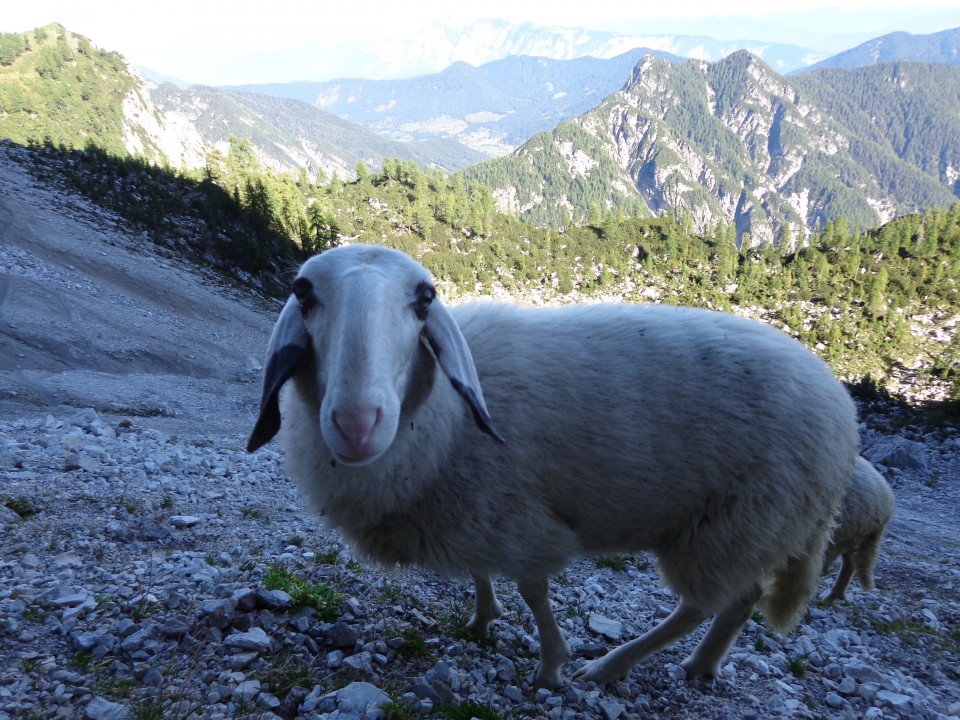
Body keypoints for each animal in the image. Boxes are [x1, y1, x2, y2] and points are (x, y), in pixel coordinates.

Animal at [248, 245, 864, 688]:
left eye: (425, 299)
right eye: (303, 292)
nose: (356, 423)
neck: (445, 422)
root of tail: (844, 413)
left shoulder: (519, 520)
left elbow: (534, 591)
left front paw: (551, 667)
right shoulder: (477, 514)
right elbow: (483, 571)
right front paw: (482, 618)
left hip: (732, 524)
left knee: (701, 605)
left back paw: (613, 666)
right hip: (743, 529)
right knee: (739, 602)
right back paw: (701, 666)